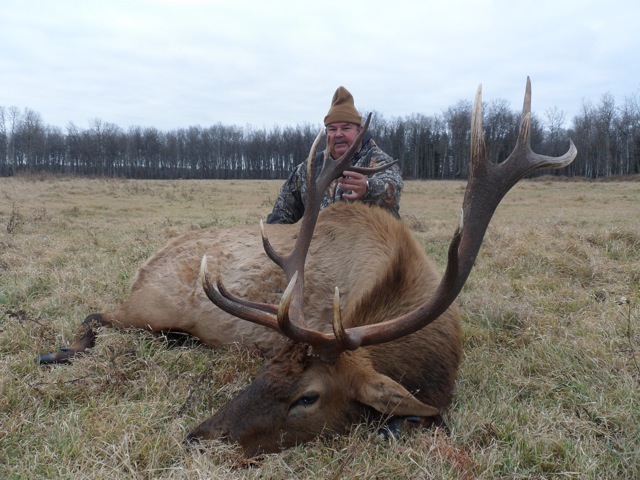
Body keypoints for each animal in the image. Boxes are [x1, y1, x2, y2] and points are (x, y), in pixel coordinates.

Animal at [38, 78, 576, 457]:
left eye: (308, 397)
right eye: (263, 369)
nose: (199, 438)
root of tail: (144, 265)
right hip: (153, 307)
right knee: (95, 314)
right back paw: (56, 353)